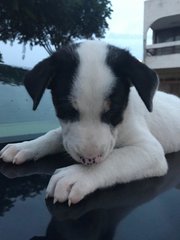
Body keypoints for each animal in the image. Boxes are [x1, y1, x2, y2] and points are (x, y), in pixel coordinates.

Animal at [1, 40, 180, 205]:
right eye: (66, 110)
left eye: (113, 111)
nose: (89, 160)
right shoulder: (67, 134)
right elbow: (53, 135)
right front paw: (25, 146)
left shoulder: (150, 150)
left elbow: (116, 157)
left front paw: (77, 175)